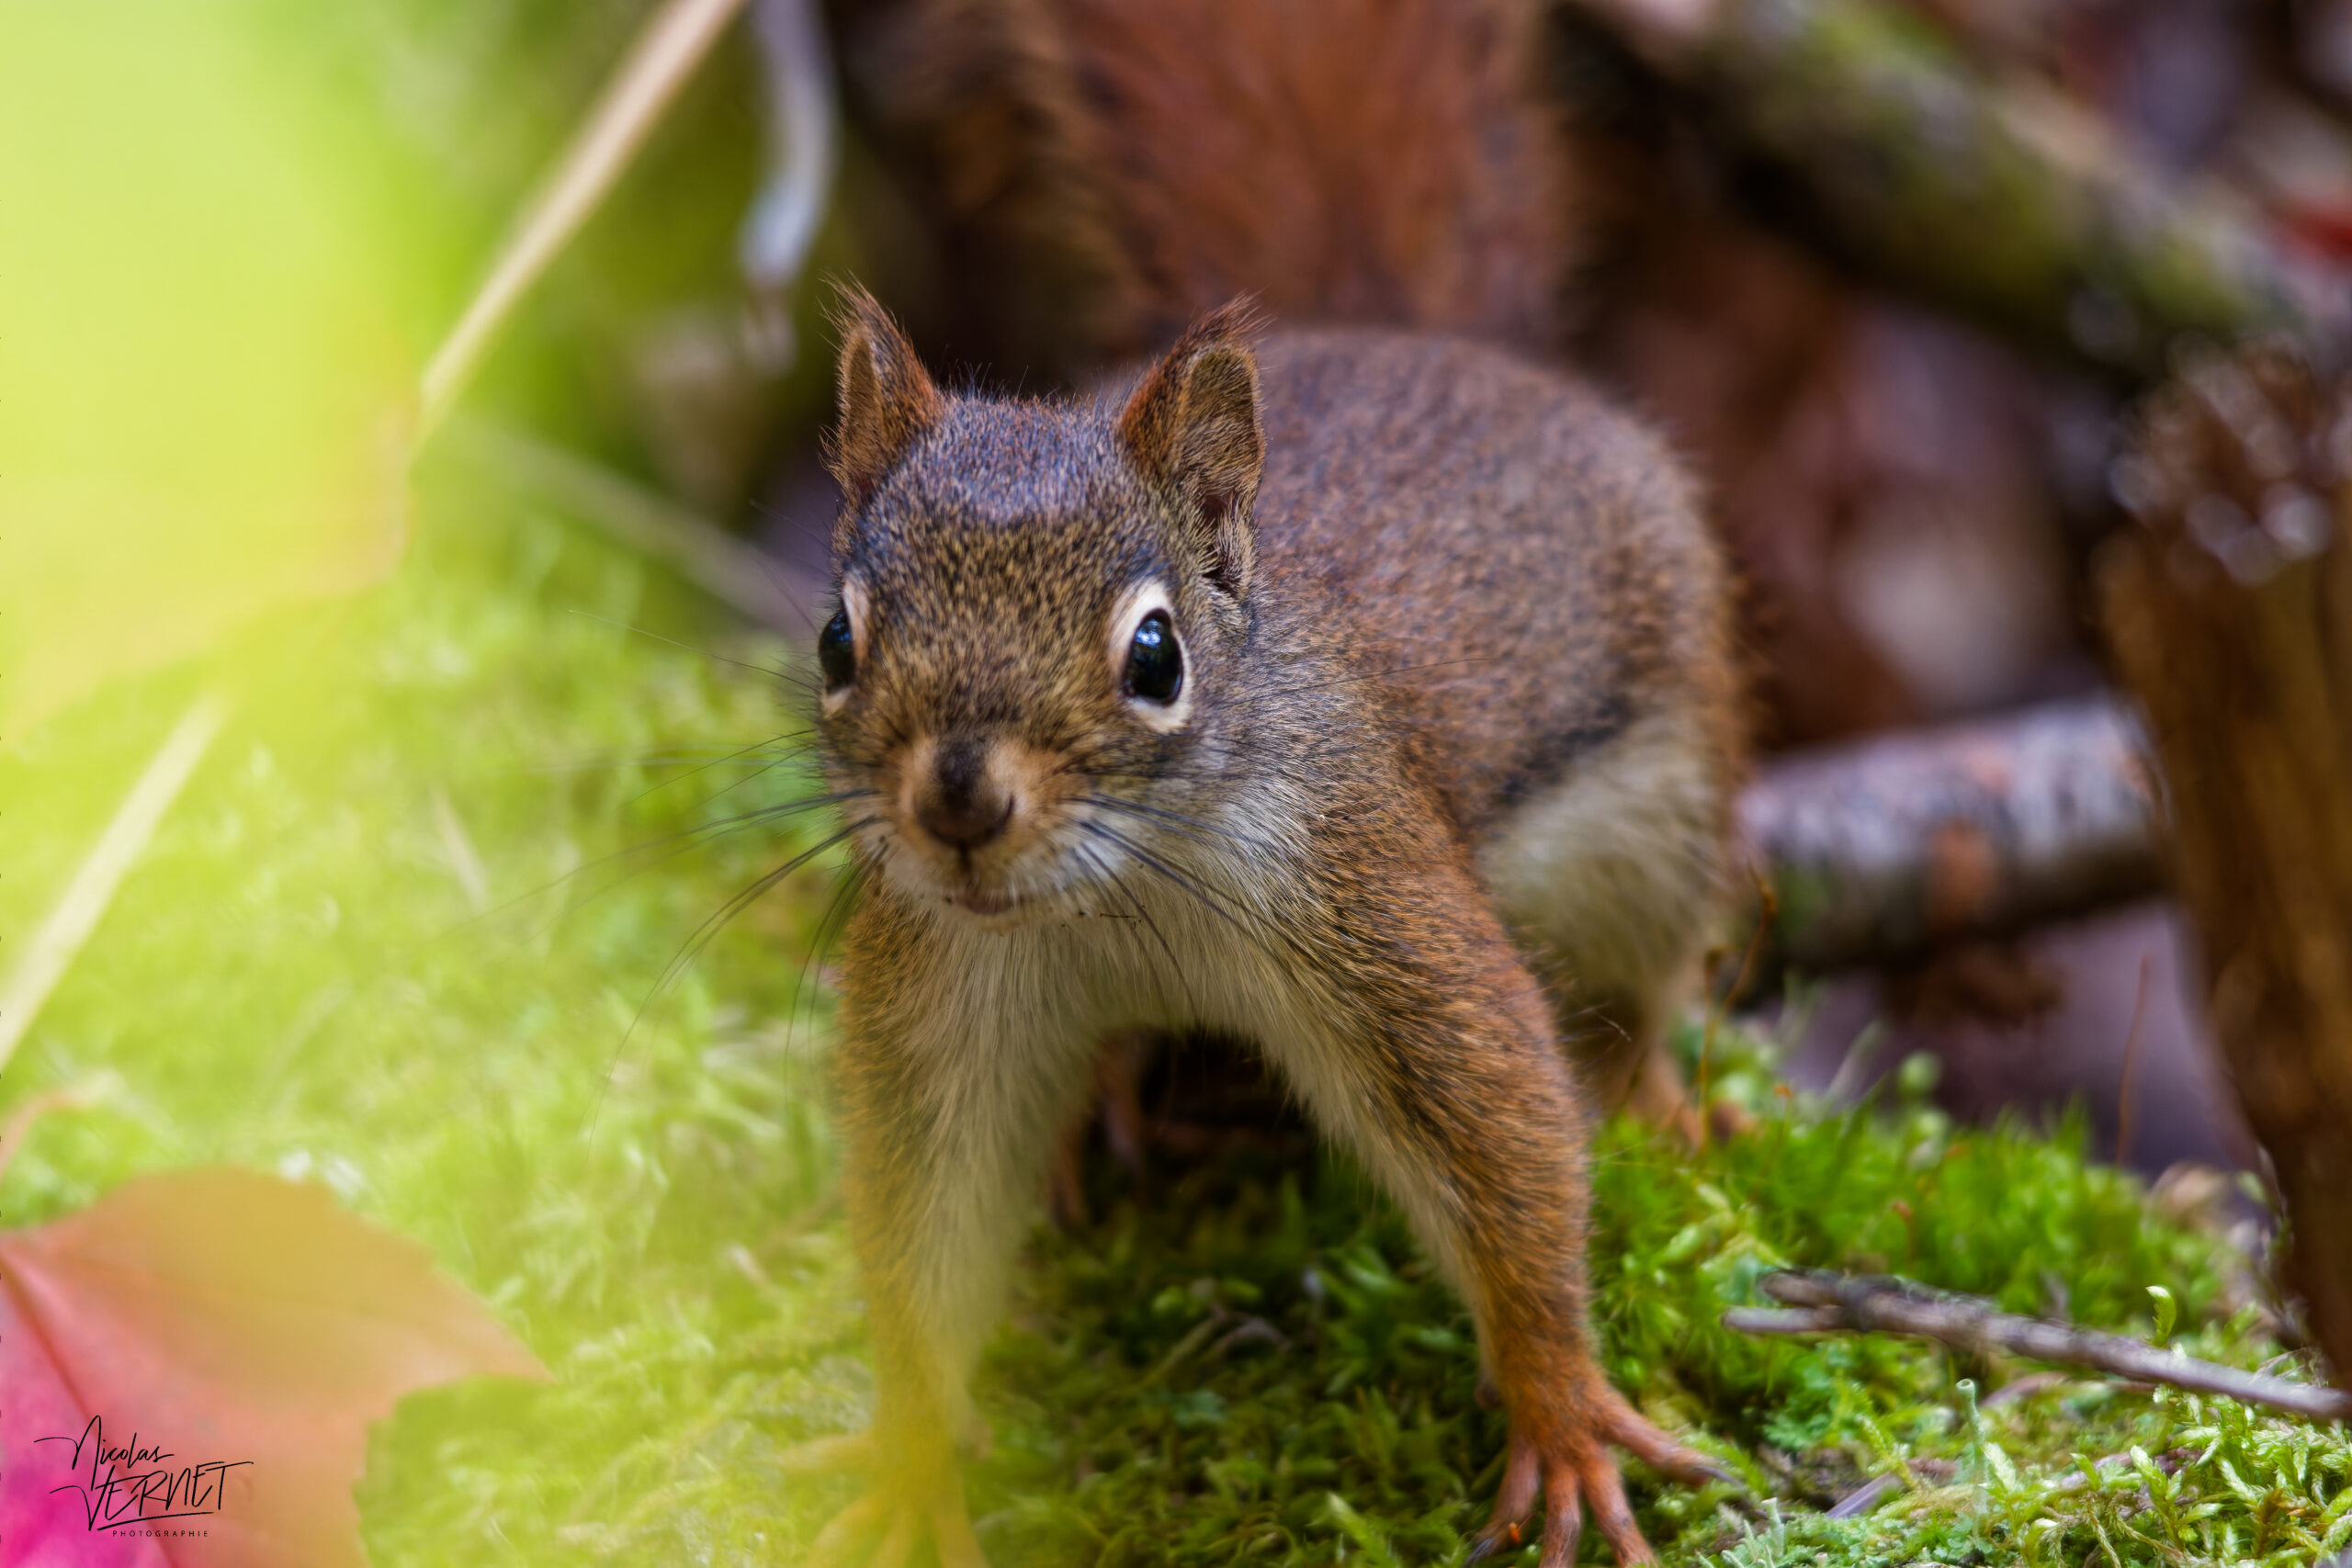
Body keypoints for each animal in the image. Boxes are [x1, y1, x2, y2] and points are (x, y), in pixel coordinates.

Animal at [800, 2, 1745, 1563]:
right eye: (836, 637)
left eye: (1156, 652)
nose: (959, 805)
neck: (1113, 903)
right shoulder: (942, 983)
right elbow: (919, 1227)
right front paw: (915, 1457)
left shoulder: (1373, 894)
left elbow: (1508, 1139)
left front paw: (1560, 1411)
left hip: (1665, 802)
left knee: (1650, 976)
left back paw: (1655, 1087)